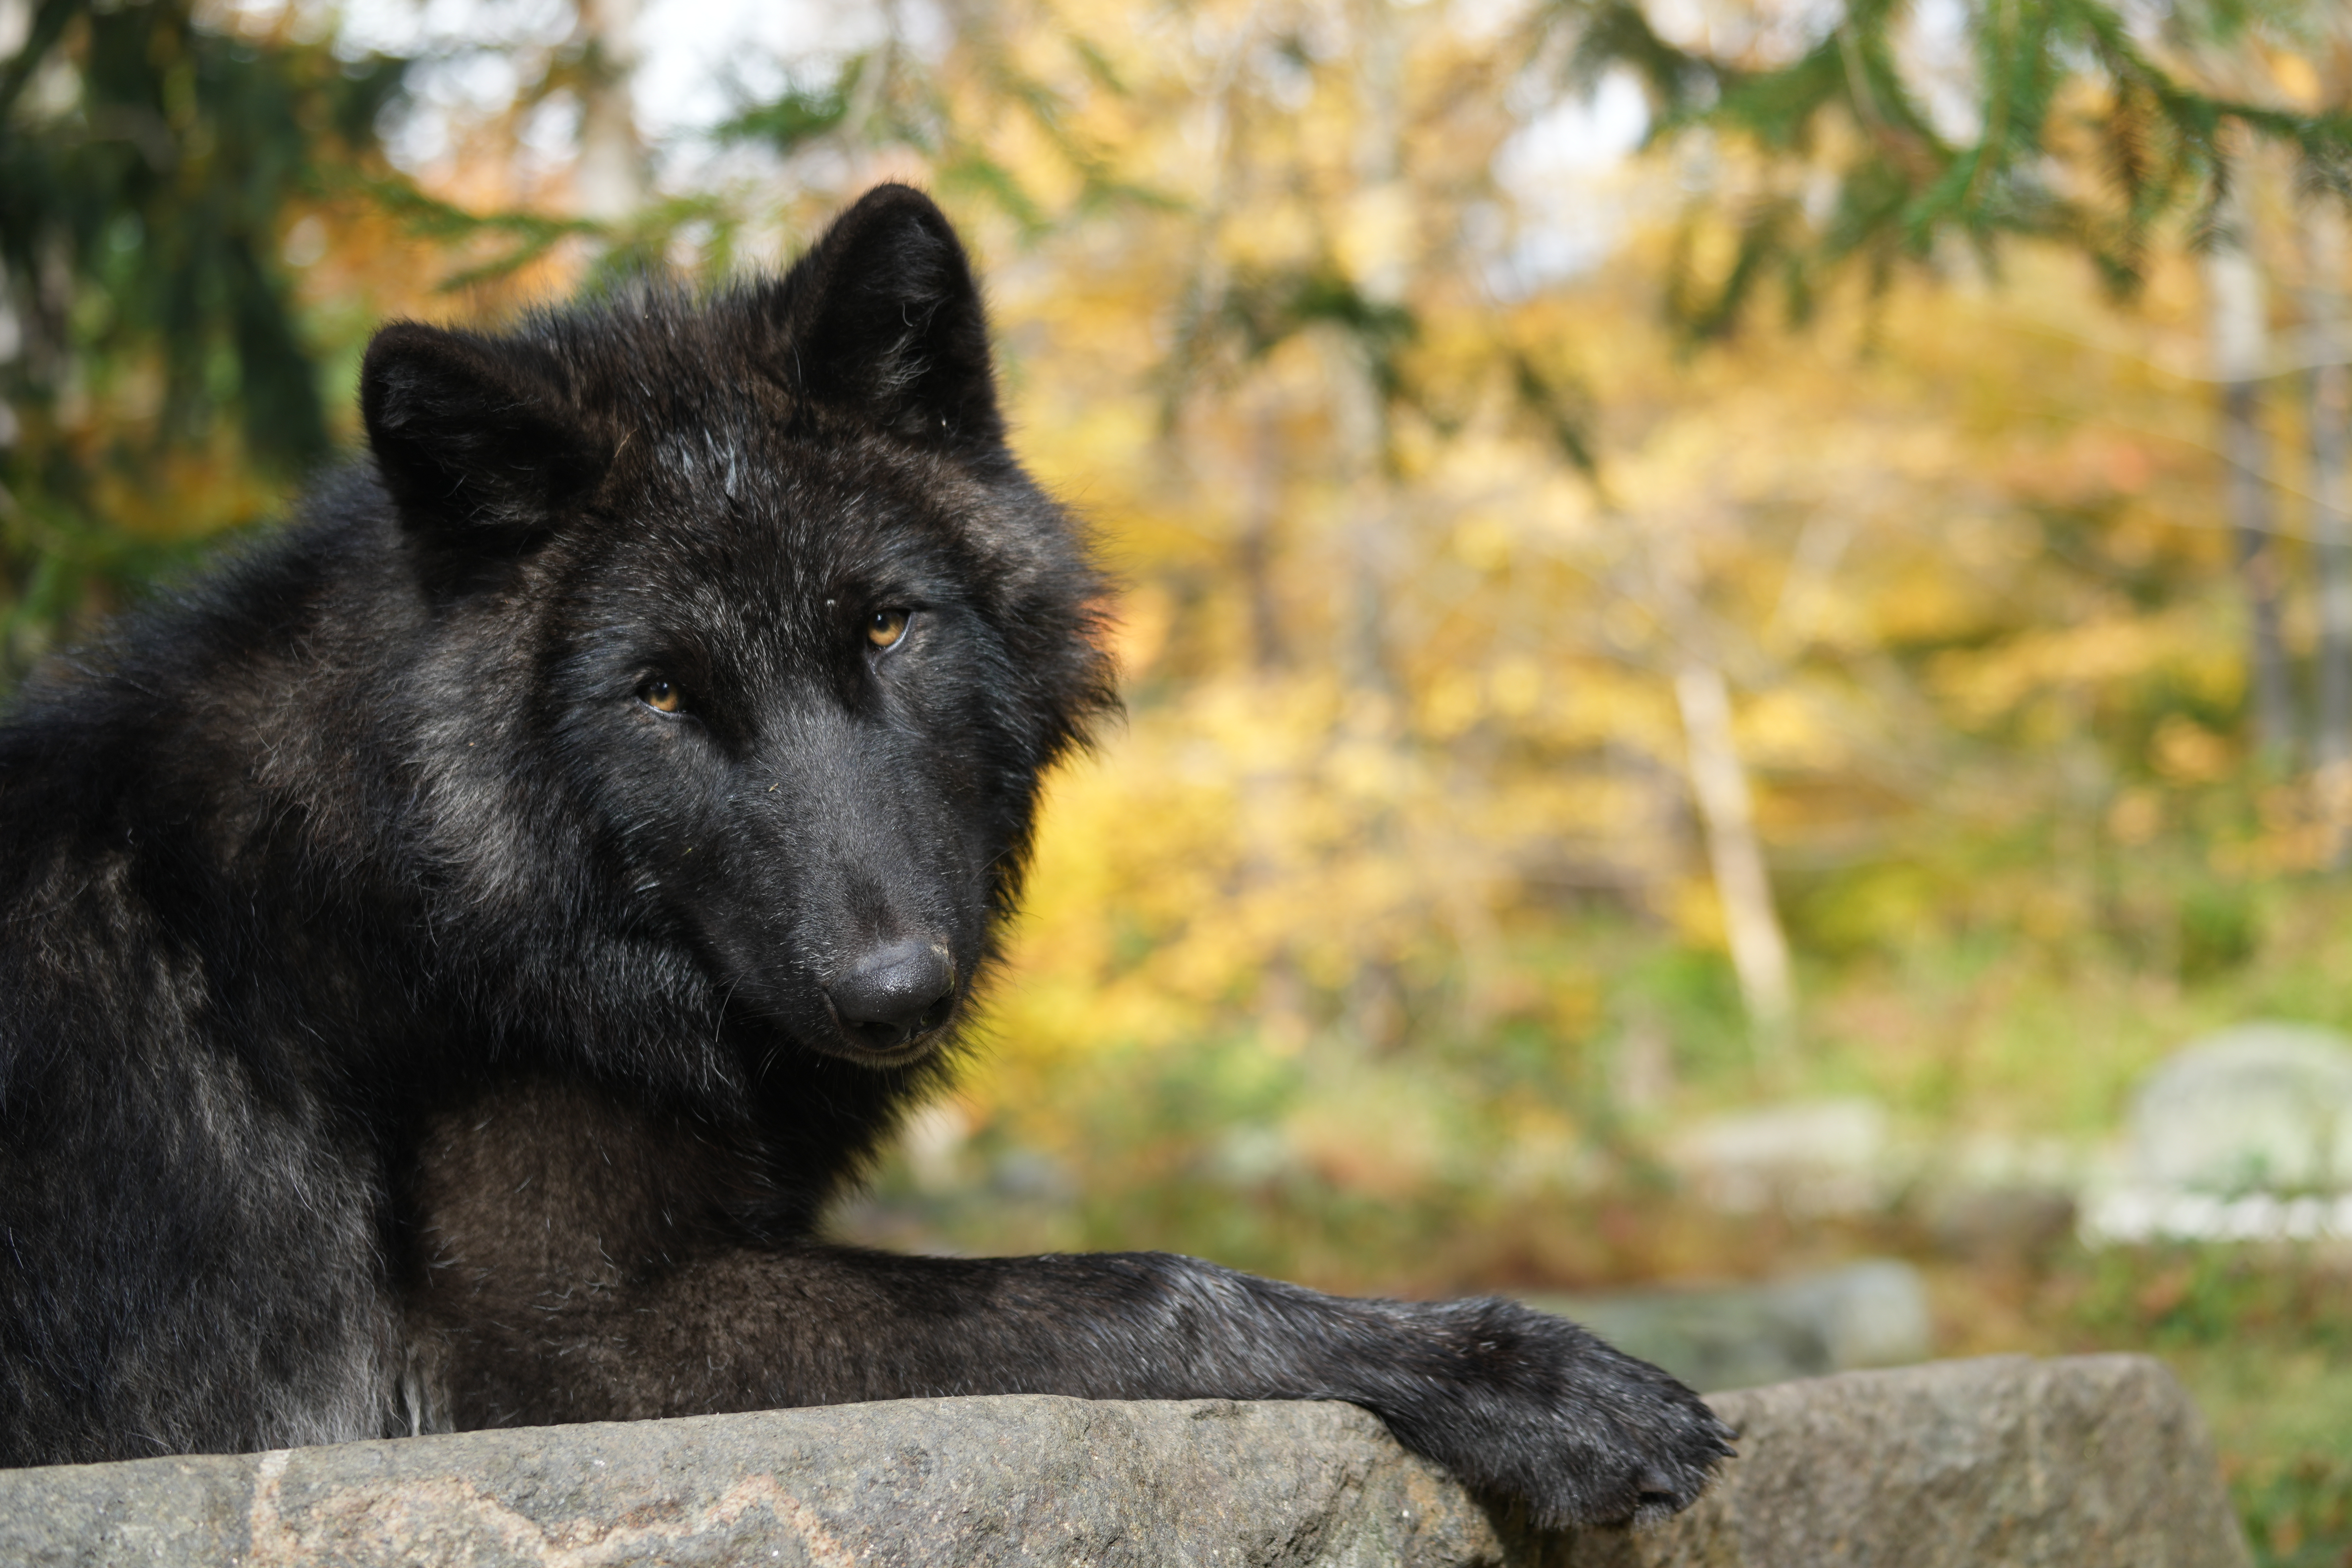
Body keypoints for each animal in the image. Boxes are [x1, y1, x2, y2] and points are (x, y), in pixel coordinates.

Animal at [0, 184, 1730, 1524]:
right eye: (662, 695)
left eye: (886, 626)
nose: (892, 986)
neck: (440, 870)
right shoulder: (534, 1347)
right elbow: (1134, 1283)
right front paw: (1514, 1375)